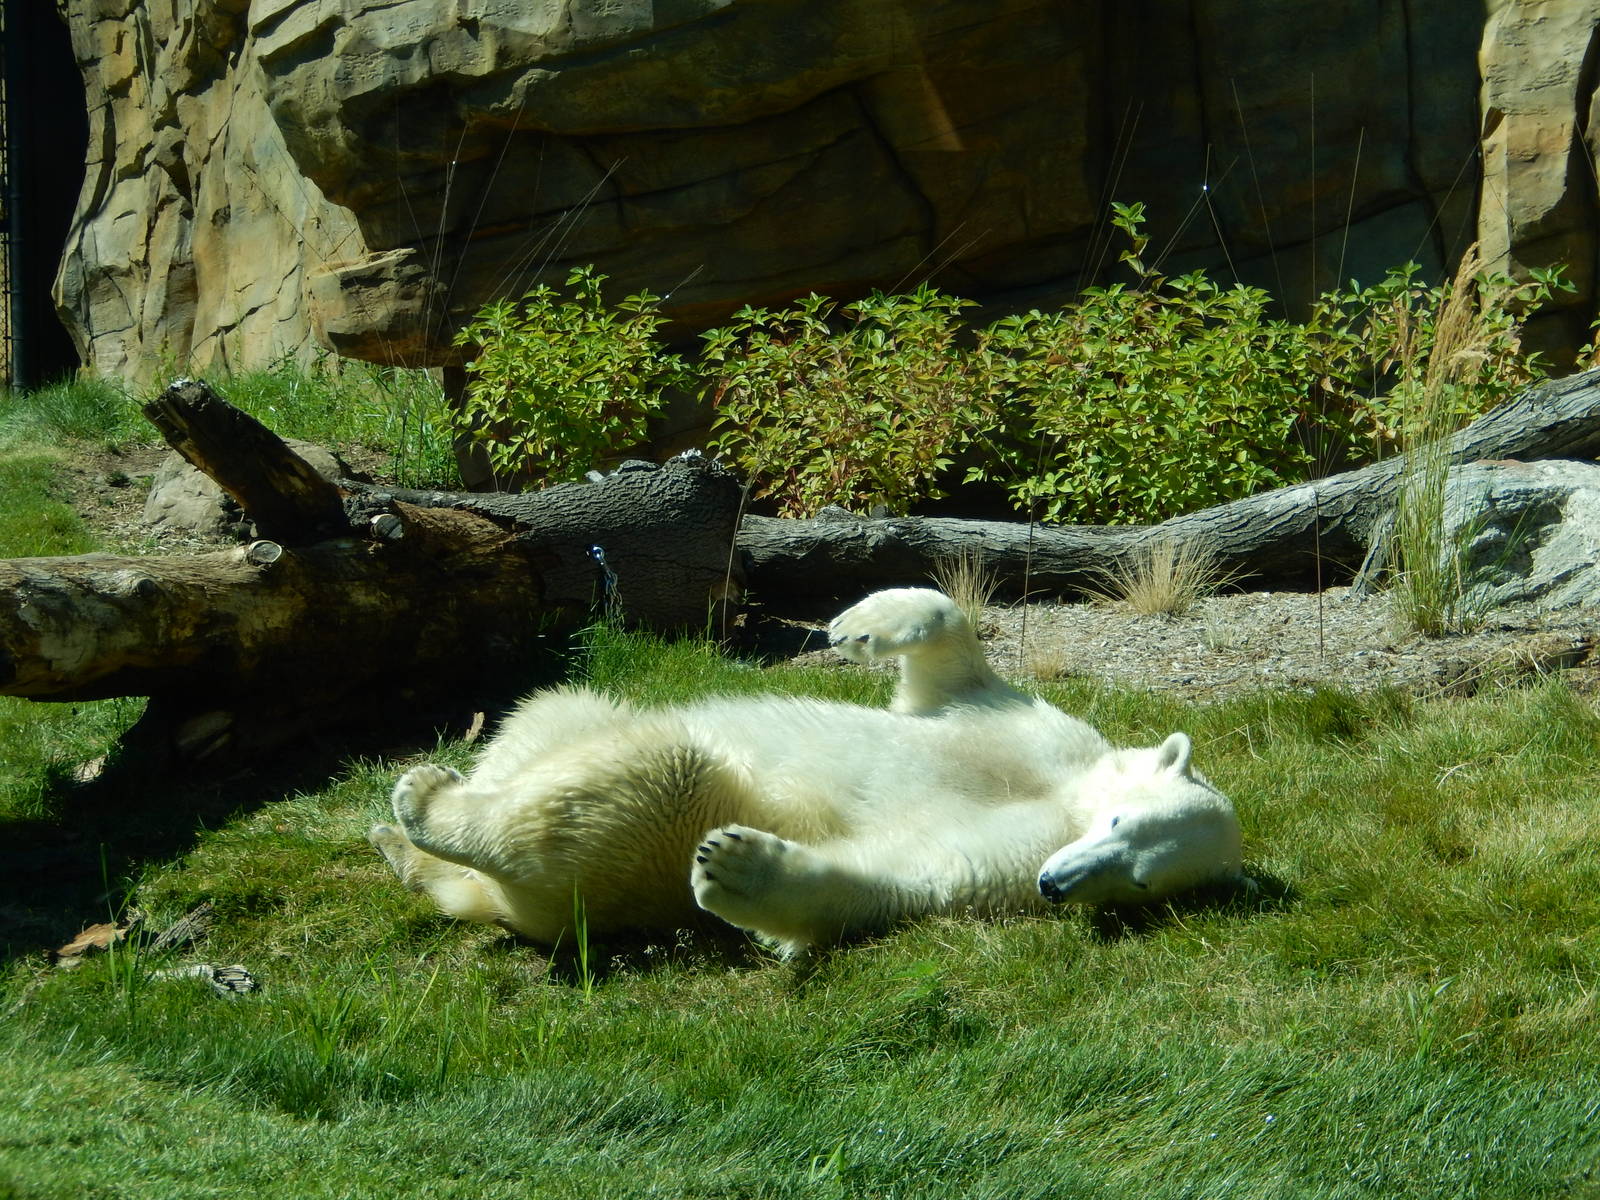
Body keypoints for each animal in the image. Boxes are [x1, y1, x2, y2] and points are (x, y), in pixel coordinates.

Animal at [369, 587, 1244, 955]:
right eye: (1119, 819)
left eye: (1139, 883)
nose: (1057, 885)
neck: (1064, 800)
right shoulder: (1043, 734)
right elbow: (950, 678)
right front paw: (858, 627)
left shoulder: (1003, 869)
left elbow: (902, 877)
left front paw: (738, 865)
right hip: (573, 716)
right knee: (557, 707)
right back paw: (408, 834)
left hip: (611, 862)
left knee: (649, 779)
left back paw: (423, 807)